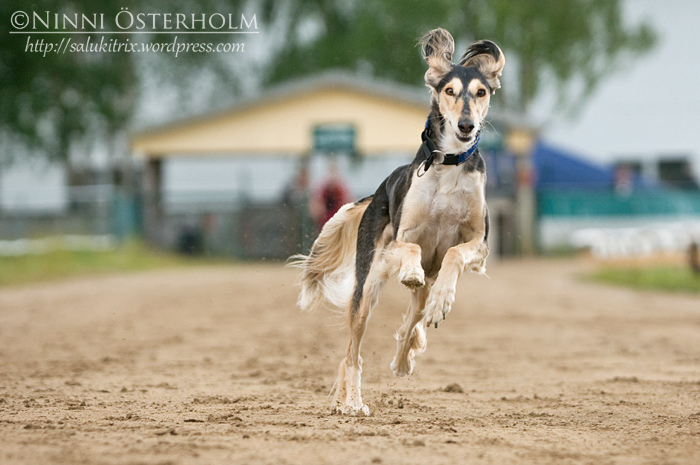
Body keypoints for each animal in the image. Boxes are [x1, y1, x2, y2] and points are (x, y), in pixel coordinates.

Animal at [290, 28, 504, 414]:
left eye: (481, 92)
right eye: (449, 91)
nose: (466, 125)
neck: (449, 165)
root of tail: (377, 191)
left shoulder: (479, 245)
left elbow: (453, 255)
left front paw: (442, 303)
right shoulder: (398, 242)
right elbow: (411, 249)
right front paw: (411, 271)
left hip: (417, 286)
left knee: (412, 318)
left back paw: (405, 356)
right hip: (366, 289)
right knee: (352, 353)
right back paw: (352, 403)